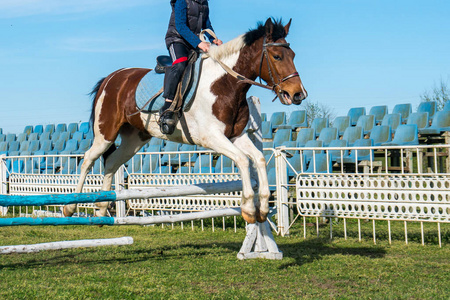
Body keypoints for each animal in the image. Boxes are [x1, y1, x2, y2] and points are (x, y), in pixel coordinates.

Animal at [63, 17, 308, 224]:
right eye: (277, 57)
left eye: (294, 55)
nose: (298, 94)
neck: (226, 84)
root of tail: (112, 77)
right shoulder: (212, 137)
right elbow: (243, 161)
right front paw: (248, 209)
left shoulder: (235, 136)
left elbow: (258, 158)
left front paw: (263, 208)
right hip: (105, 132)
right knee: (88, 159)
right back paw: (70, 207)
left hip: (135, 138)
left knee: (112, 162)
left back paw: (102, 208)